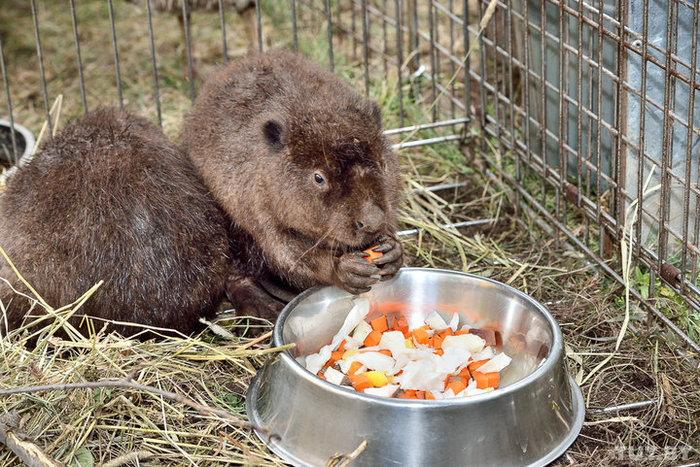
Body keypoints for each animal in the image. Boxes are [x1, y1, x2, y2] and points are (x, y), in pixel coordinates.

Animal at [183, 50, 402, 322]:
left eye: (383, 162)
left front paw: (393, 251)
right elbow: (288, 253)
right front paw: (346, 269)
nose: (372, 221)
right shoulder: (255, 199)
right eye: (318, 177)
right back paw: (263, 306)